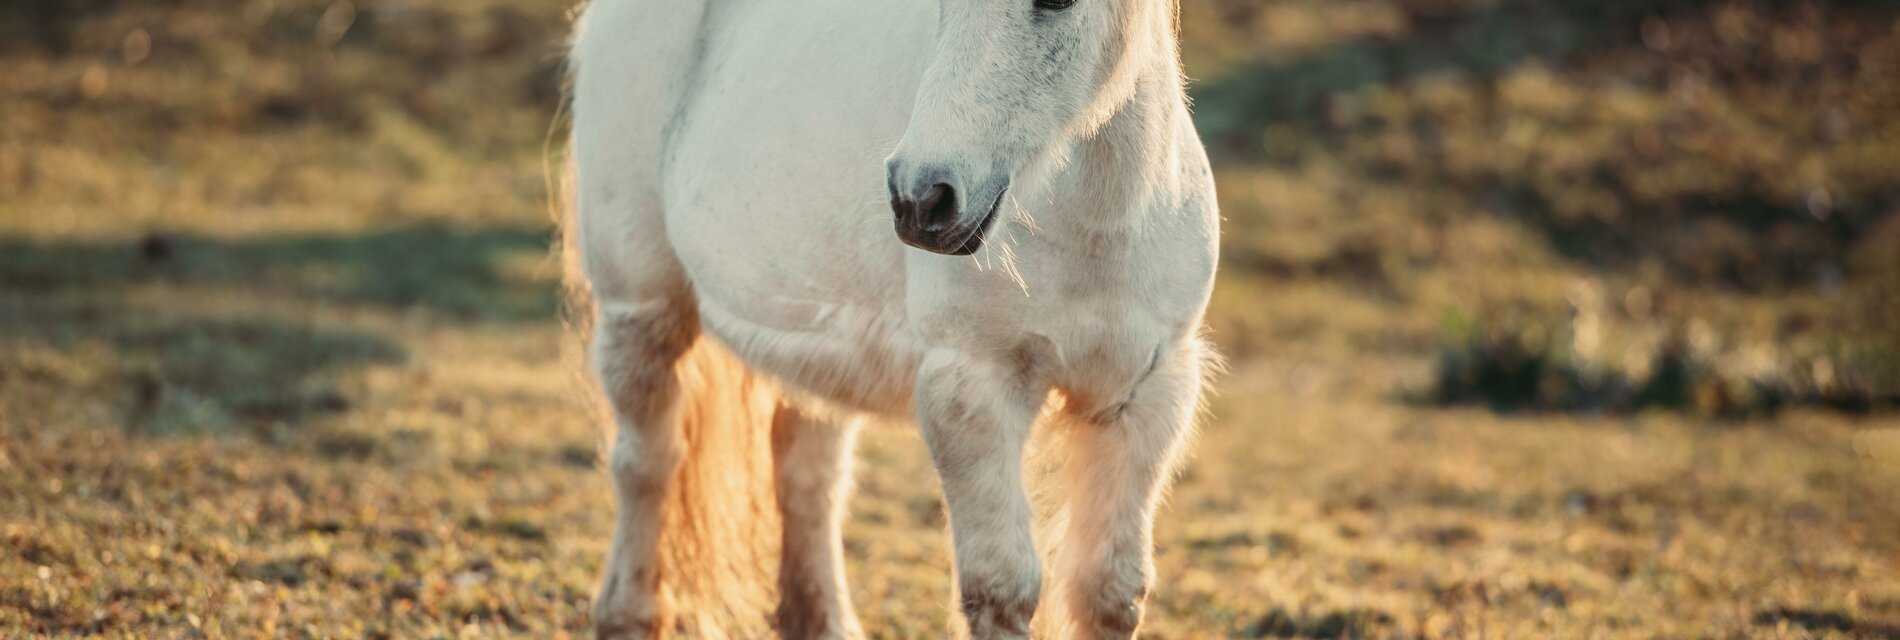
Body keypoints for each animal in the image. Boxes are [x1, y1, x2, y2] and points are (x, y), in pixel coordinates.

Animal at [562, 0, 1216, 634]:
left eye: (1059, 1)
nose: (919, 199)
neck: (1104, 224)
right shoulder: (970, 388)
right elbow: (1000, 590)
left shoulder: (1146, 395)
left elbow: (1108, 590)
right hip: (643, 310)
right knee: (647, 465)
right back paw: (626, 616)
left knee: (808, 479)